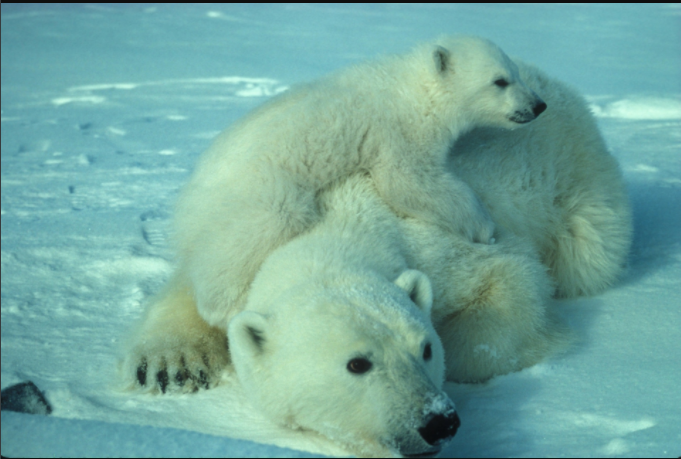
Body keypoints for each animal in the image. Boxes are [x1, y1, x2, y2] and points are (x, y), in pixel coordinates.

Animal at [173, 37, 544, 328]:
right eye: (500, 80)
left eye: (516, 72)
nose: (538, 105)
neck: (413, 89)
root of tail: (186, 205)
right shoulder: (399, 131)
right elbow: (409, 182)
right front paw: (484, 228)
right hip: (257, 189)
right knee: (259, 230)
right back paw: (226, 307)